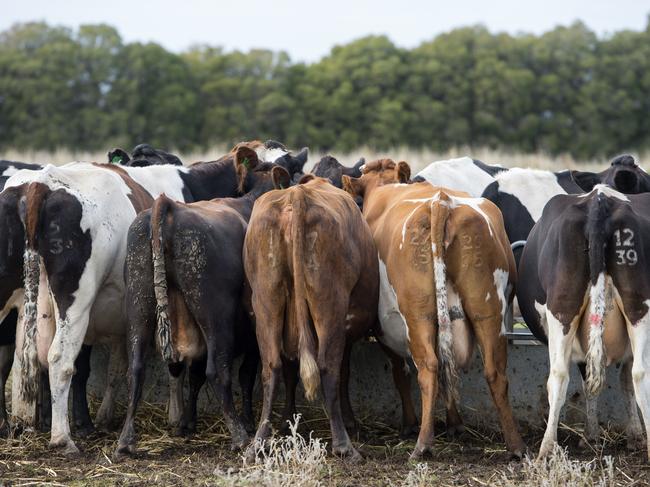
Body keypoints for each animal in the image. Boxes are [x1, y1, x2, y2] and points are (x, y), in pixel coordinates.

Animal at [5, 142, 306, 458]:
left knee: (28, 358)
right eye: (295, 171)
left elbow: (122, 367)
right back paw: (63, 438)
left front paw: (103, 418)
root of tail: (42, 183)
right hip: (77, 301)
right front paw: (177, 417)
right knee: (60, 358)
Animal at [243, 175, 378, 462]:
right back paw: (344, 445)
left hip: (267, 300)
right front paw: (350, 421)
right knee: (328, 367)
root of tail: (298, 195)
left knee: (272, 367)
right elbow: (344, 372)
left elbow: (290, 371)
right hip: (329, 304)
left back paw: (257, 444)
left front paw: (287, 421)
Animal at [342, 160, 524, 462]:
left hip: (418, 315)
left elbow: (400, 371)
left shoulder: (384, 329)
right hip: (488, 310)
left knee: (428, 367)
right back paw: (515, 445)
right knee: (493, 373)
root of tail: (442, 203)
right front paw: (455, 424)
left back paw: (422, 443)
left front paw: (409, 423)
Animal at [520, 184, 650, 462]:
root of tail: (599, 200)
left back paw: (547, 448)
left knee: (559, 375)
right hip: (636, 307)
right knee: (639, 374)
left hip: (563, 309)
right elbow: (612, 382)